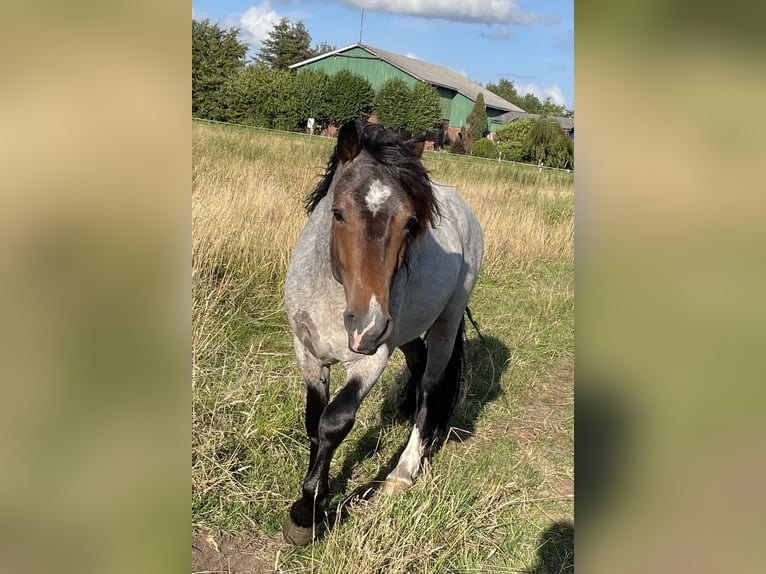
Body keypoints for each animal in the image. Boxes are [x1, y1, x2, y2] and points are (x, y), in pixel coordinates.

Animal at [282, 120, 486, 544]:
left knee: (431, 385)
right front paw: (315, 494)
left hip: (444, 321)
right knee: (418, 362)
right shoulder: (307, 351)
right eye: (338, 213)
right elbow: (313, 419)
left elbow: (334, 422)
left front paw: (307, 512)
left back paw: (403, 471)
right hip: (404, 331)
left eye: (410, 222)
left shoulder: (371, 360)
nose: (368, 326)